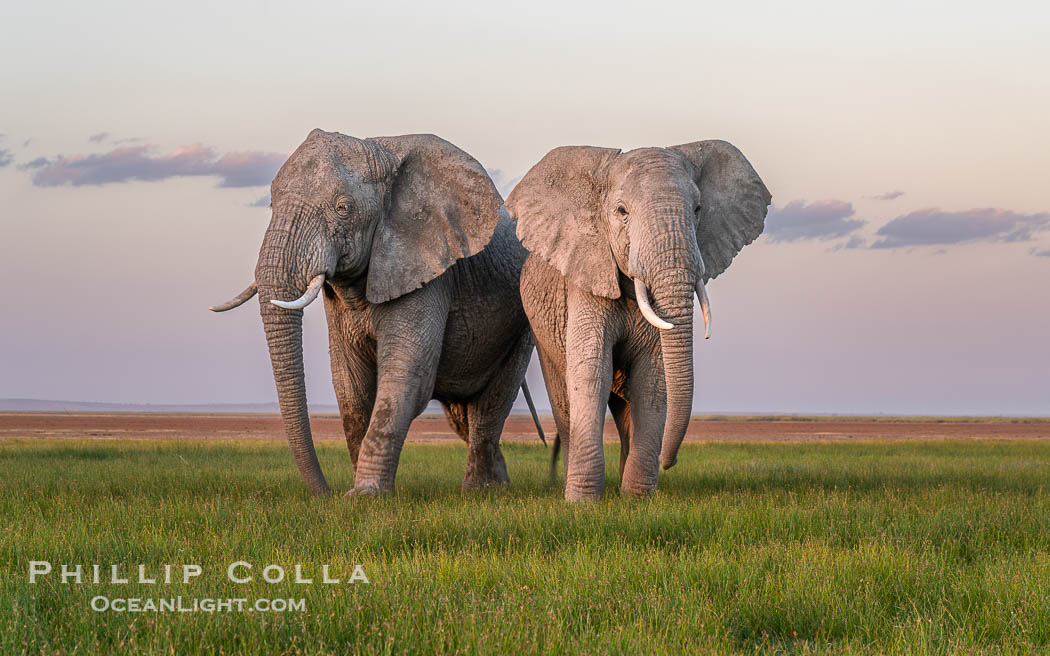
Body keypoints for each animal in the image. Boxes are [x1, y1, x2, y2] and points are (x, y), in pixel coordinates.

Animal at [209, 130, 537, 493]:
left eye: (343, 208)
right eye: (270, 204)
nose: (326, 493)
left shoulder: (429, 270)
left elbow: (406, 375)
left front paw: (365, 494)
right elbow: (350, 385)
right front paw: (357, 491)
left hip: (522, 324)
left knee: (491, 404)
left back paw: (481, 490)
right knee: (461, 414)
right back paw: (498, 484)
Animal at [508, 140, 772, 499]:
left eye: (698, 209)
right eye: (622, 211)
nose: (668, 462)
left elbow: (652, 378)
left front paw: (637, 499)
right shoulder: (585, 276)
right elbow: (592, 371)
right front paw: (582, 503)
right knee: (564, 401)